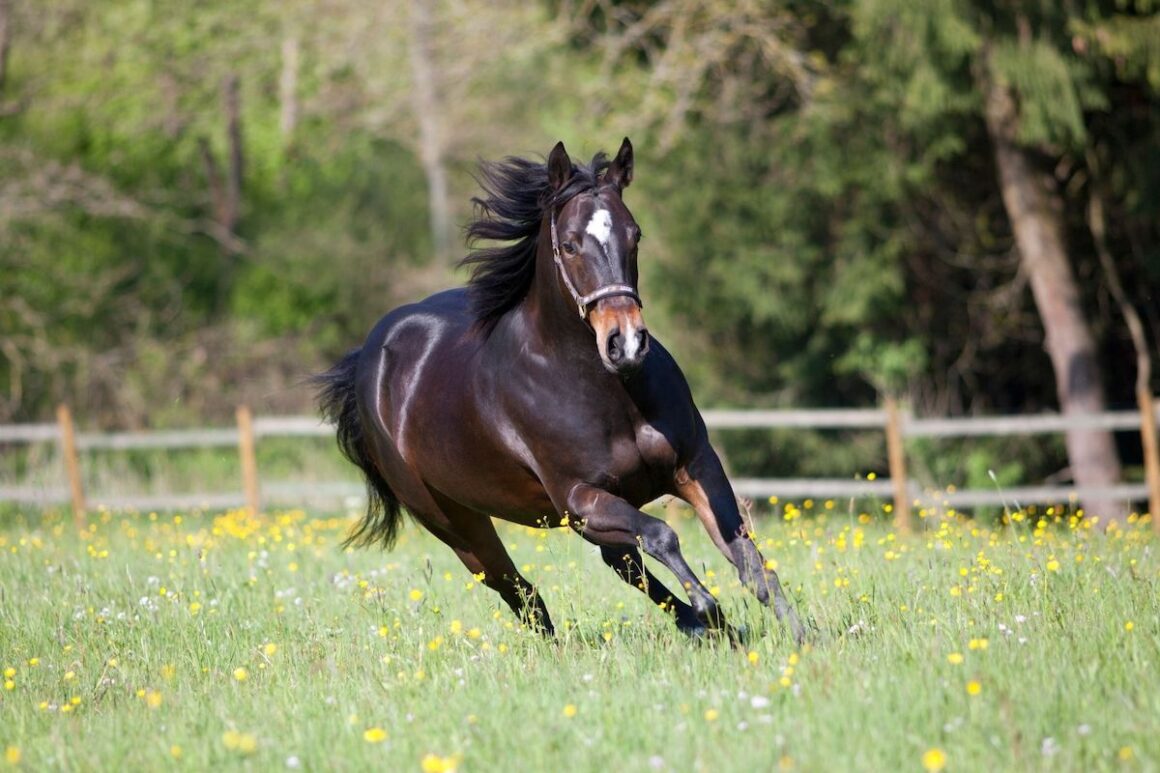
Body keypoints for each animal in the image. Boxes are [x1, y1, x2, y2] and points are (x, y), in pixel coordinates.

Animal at [317, 138, 807, 645]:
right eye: (570, 244)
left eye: (635, 234)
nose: (626, 344)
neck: (606, 392)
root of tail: (369, 357)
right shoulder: (579, 497)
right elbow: (663, 535)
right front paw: (709, 607)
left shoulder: (695, 466)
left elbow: (748, 559)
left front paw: (801, 639)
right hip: (454, 521)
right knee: (519, 589)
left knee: (618, 564)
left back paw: (704, 628)